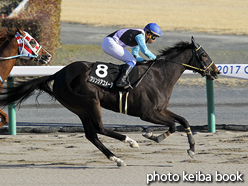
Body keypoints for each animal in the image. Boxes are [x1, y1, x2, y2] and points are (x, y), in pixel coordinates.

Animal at [0, 36, 221, 166]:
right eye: (203, 54)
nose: (216, 72)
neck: (159, 75)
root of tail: (59, 73)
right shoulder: (148, 113)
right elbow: (173, 125)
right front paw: (151, 135)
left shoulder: (161, 109)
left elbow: (183, 121)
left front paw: (192, 150)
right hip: (90, 101)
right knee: (100, 128)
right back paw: (130, 142)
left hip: (79, 108)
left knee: (91, 134)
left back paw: (116, 158)